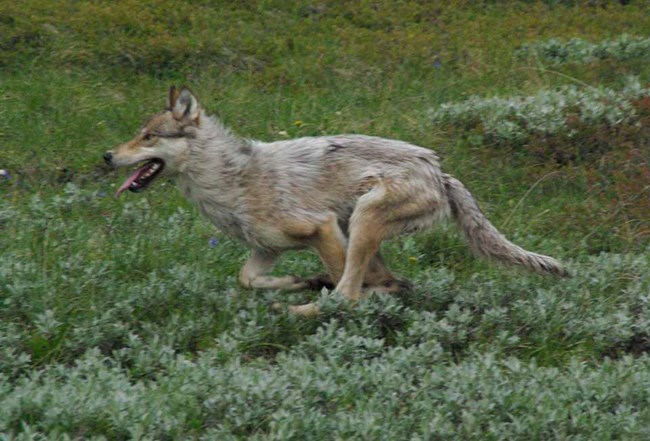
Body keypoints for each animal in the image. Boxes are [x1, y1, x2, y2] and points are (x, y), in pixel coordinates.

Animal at [104, 86, 564, 314]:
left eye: (149, 137)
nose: (106, 155)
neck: (230, 181)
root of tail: (438, 169)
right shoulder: (267, 251)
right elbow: (247, 279)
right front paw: (296, 281)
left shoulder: (320, 227)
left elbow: (341, 279)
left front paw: (308, 288)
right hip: (359, 226)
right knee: (384, 282)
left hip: (360, 221)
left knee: (350, 292)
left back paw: (298, 310)